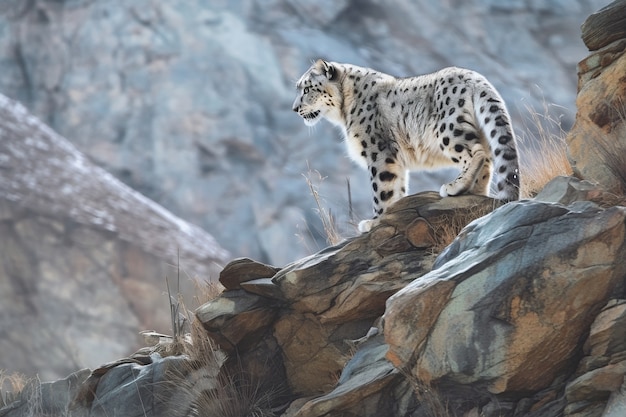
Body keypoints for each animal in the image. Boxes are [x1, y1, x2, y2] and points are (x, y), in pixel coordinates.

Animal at [292, 60, 516, 232]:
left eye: (307, 88)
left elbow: (382, 189)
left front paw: (374, 222)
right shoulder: (394, 160)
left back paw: (455, 186)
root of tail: (476, 78)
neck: (344, 112)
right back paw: (474, 192)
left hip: (449, 128)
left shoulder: (379, 152)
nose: (295, 108)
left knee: (476, 152)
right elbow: (397, 188)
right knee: (487, 162)